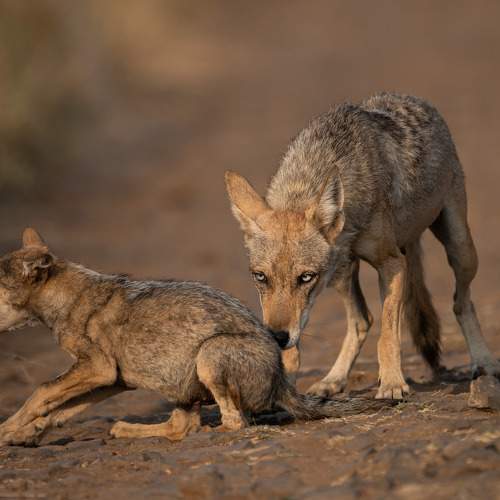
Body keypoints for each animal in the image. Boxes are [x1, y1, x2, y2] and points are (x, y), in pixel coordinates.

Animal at [0, 228, 391, 446]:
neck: (64, 299)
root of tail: (281, 380)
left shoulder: (97, 368)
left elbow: (41, 392)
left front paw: (9, 428)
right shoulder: (112, 379)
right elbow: (61, 408)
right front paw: (23, 434)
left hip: (209, 353)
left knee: (233, 423)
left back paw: (209, 431)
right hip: (181, 385)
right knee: (180, 427)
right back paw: (126, 430)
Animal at [225, 92, 500, 400]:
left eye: (306, 277)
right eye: (260, 277)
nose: (277, 336)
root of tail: (414, 99)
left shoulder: (392, 264)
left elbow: (388, 335)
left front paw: (392, 383)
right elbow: (307, 343)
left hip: (460, 248)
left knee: (461, 303)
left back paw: (484, 362)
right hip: (342, 274)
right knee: (362, 320)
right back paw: (333, 380)